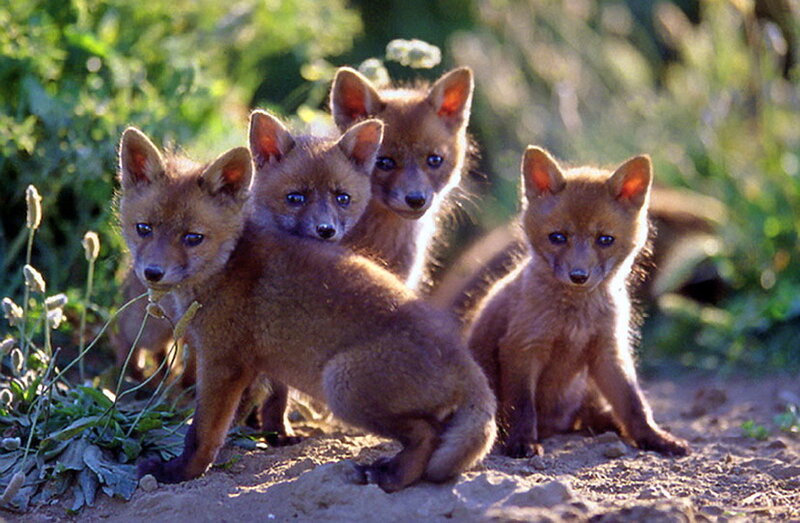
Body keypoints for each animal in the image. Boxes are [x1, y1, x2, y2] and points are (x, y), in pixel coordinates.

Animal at [118, 127, 496, 492]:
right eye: (144, 229)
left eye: (193, 238)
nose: (152, 273)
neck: (228, 263)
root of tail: (469, 365)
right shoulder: (248, 367)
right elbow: (242, 417)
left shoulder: (224, 363)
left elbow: (202, 435)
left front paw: (179, 473)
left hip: (341, 385)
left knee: (426, 433)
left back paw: (390, 477)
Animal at [466, 146, 689, 459]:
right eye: (558, 237)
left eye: (605, 239)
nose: (579, 276)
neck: (576, 319)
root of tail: (561, 424)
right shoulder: (522, 347)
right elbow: (521, 405)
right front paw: (522, 442)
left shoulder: (608, 351)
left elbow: (634, 404)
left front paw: (653, 438)